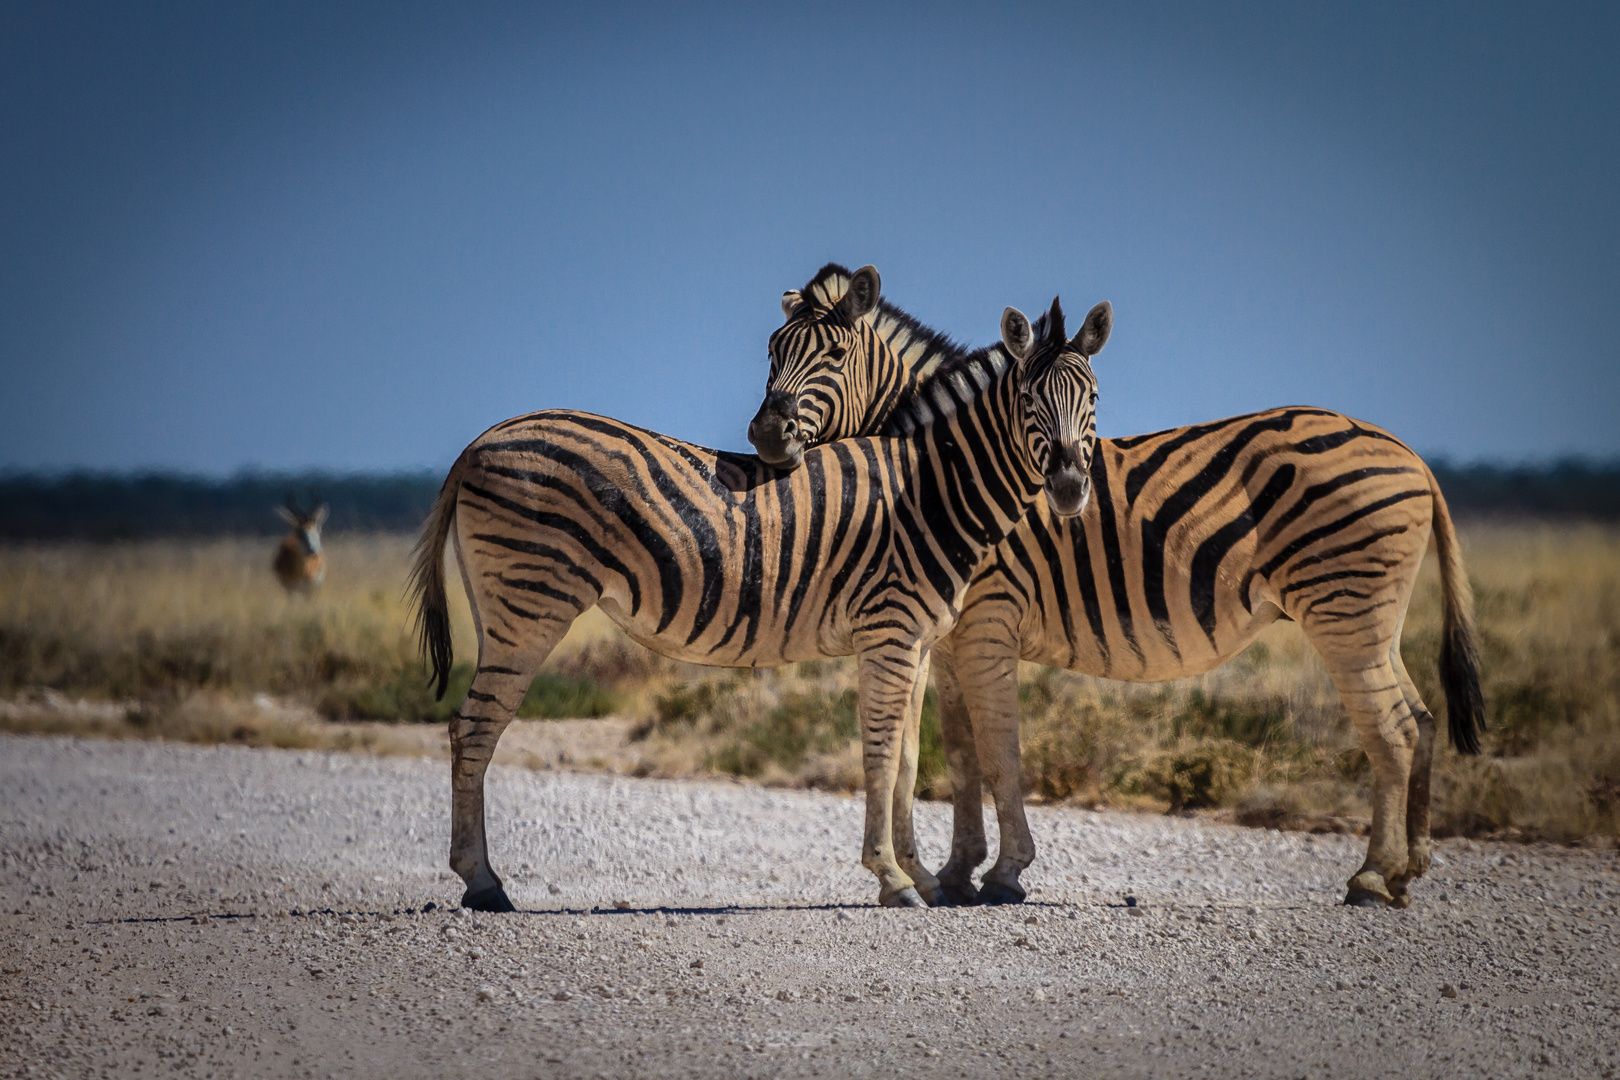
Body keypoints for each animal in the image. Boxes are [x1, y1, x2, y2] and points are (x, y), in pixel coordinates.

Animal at [408, 278, 1114, 913]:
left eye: (1094, 397)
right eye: (1028, 398)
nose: (1071, 488)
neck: (932, 490)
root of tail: (480, 441)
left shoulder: (914, 641)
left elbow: (910, 760)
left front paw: (919, 876)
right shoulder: (888, 631)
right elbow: (882, 755)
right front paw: (892, 878)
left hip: (500, 607)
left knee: (468, 727)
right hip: (530, 603)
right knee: (474, 728)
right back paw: (484, 885)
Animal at [745, 263, 1483, 913]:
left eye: (835, 354)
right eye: (772, 350)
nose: (766, 436)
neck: (947, 476)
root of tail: (1412, 455)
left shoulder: (988, 623)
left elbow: (999, 752)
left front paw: (1004, 875)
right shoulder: (951, 640)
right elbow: (959, 757)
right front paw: (956, 874)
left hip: (1343, 610)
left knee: (1393, 731)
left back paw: (1370, 878)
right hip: (1372, 621)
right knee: (1420, 719)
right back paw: (1406, 872)